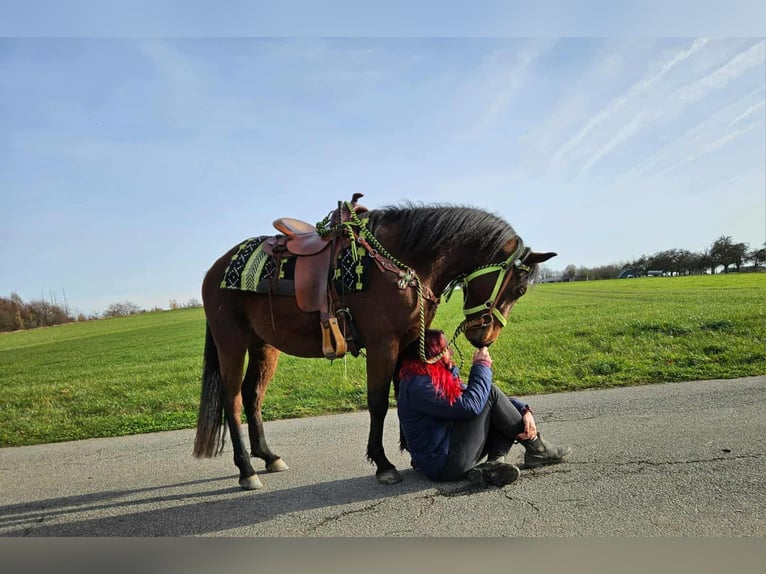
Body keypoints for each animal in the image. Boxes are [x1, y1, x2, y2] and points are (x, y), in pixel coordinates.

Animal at [193, 198, 556, 490]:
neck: (404, 264)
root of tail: (214, 270)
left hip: (264, 347)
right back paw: (246, 470)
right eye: (520, 289)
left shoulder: (407, 340)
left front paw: (409, 449)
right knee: (232, 401)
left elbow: (400, 389)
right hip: (231, 344)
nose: (484, 337)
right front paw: (383, 464)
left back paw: (268, 456)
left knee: (253, 396)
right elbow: (379, 402)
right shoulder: (384, 344)